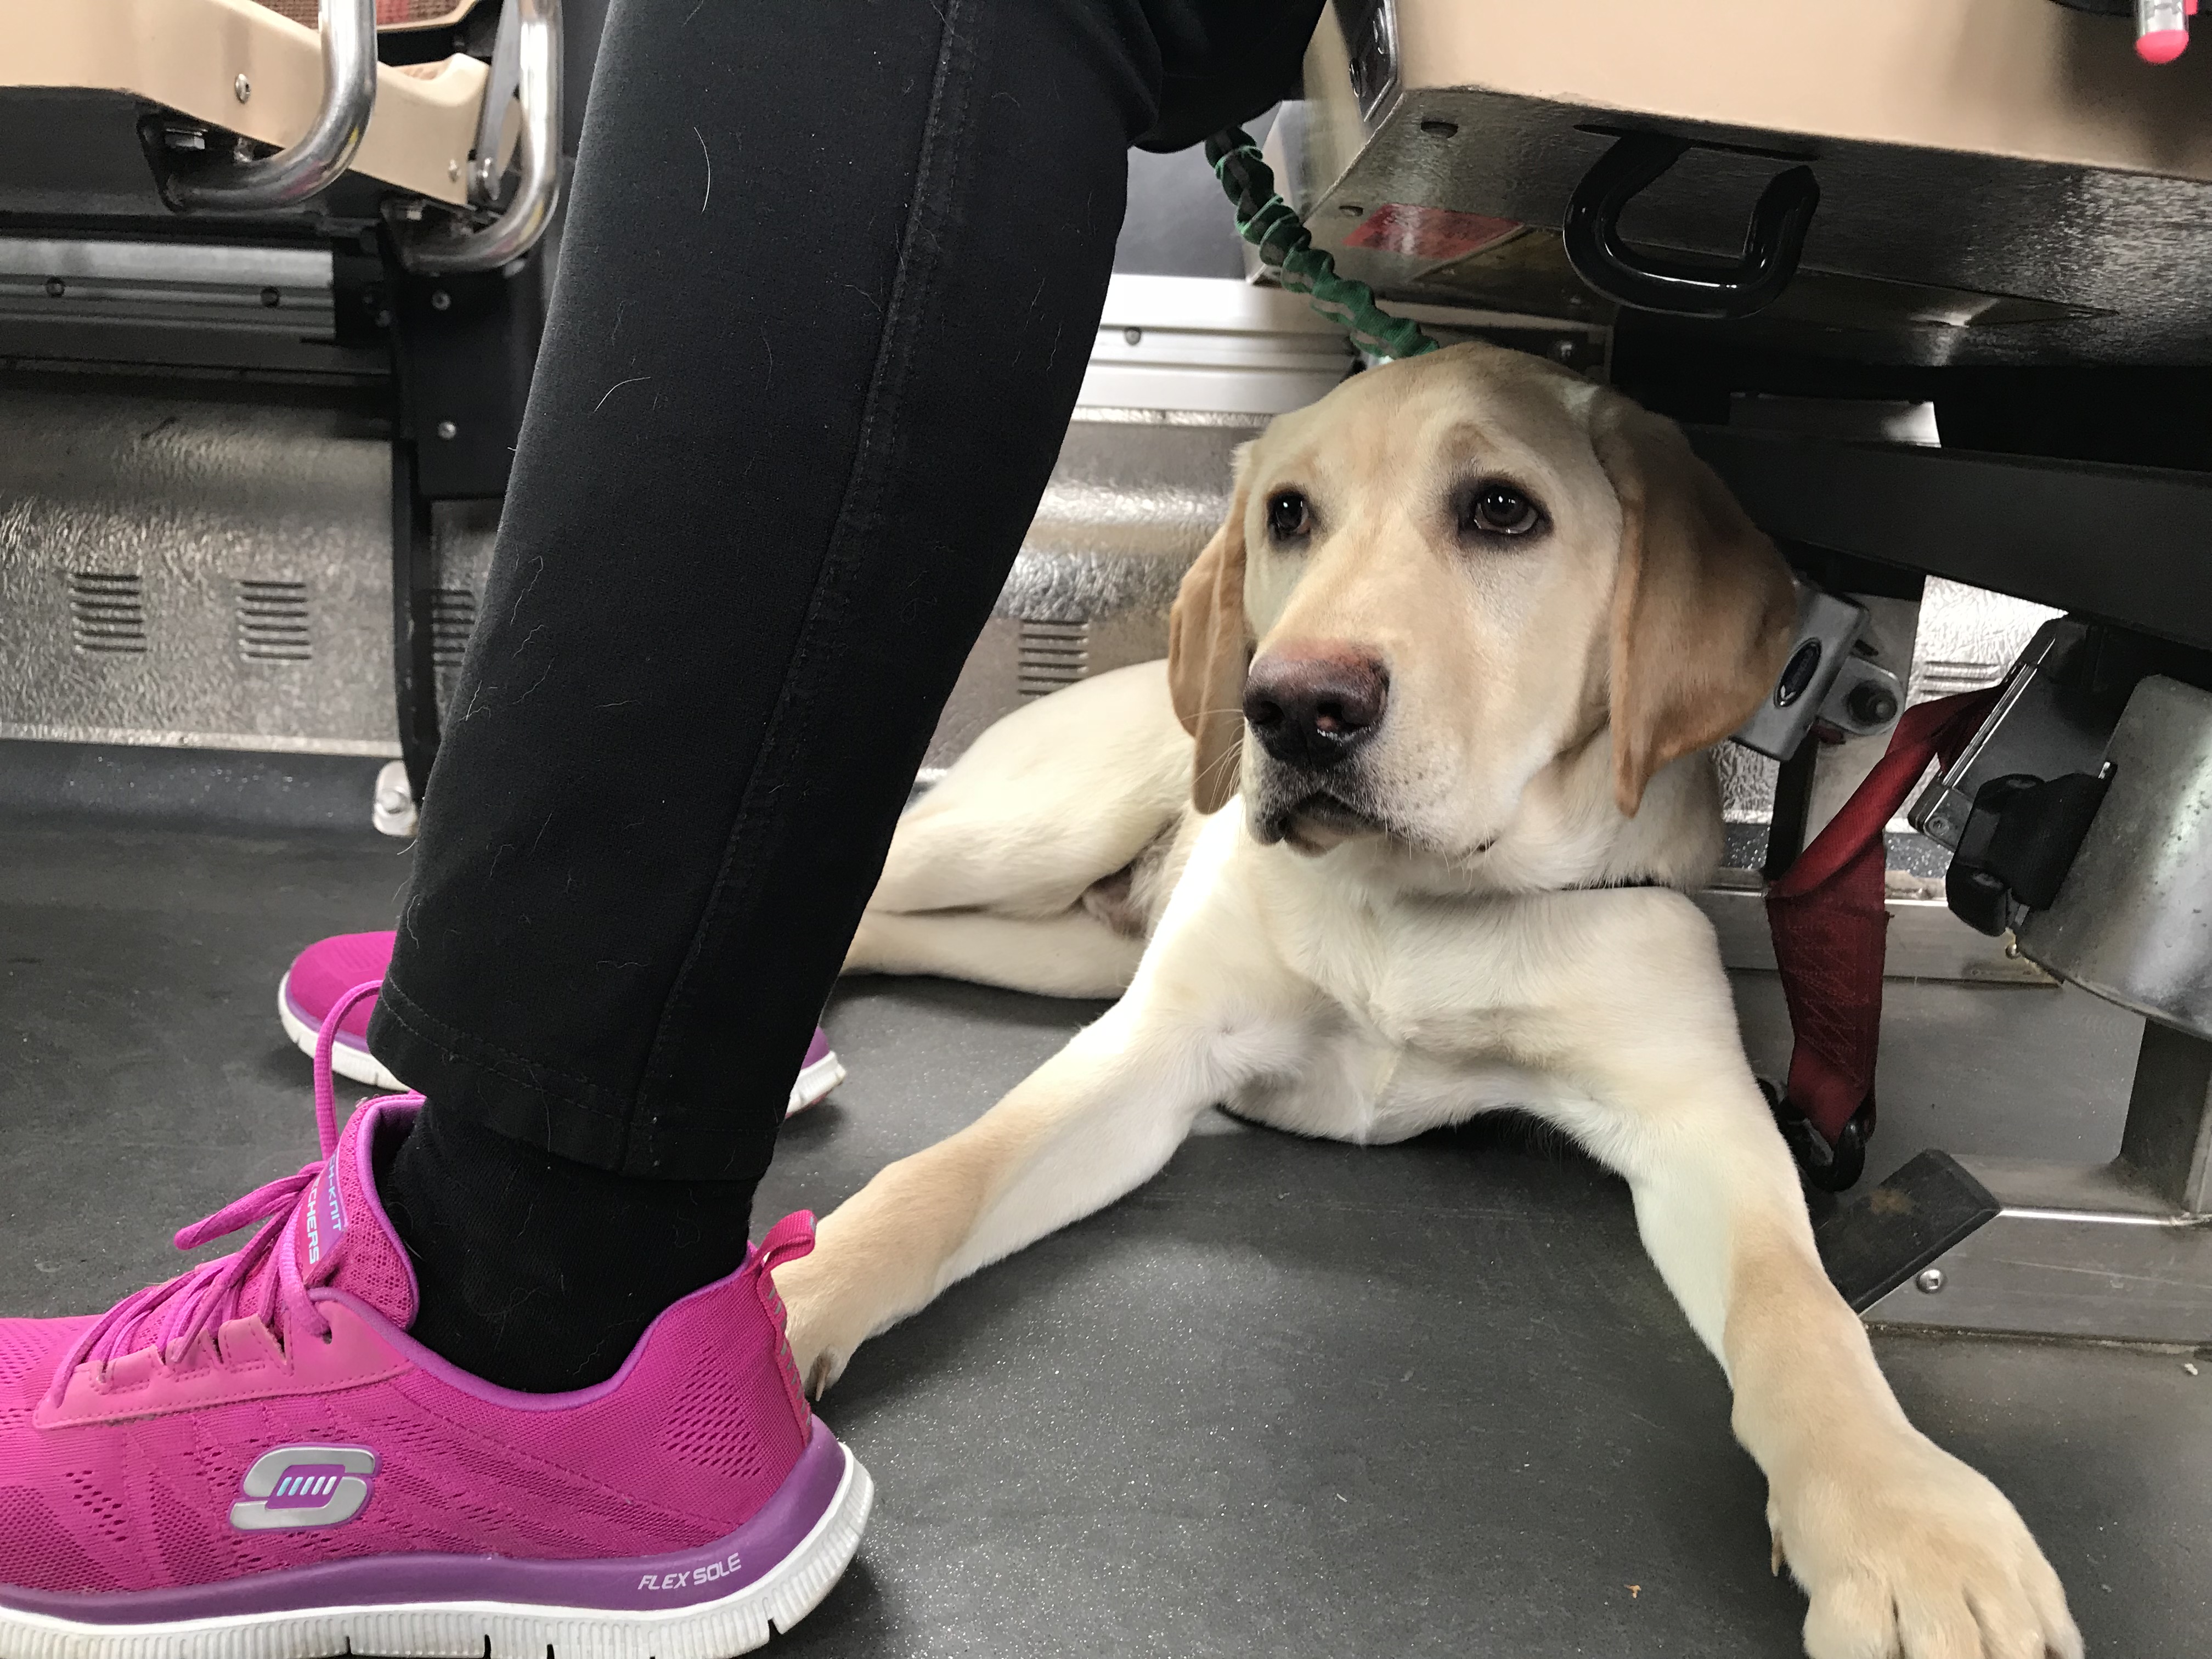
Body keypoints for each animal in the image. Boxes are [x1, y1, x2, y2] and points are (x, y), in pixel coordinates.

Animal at [787, 340, 2079, 1659]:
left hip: (1057, 945)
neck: (1430, 901)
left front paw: (1906, 1521)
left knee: (891, 927)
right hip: (1036, 834)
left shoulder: (1701, 1122)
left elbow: (1798, 1305)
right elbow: (947, 1174)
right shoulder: (1152, 1049)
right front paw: (786, 1303)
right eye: (1288, 515)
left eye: (1503, 510)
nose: (1290, 706)